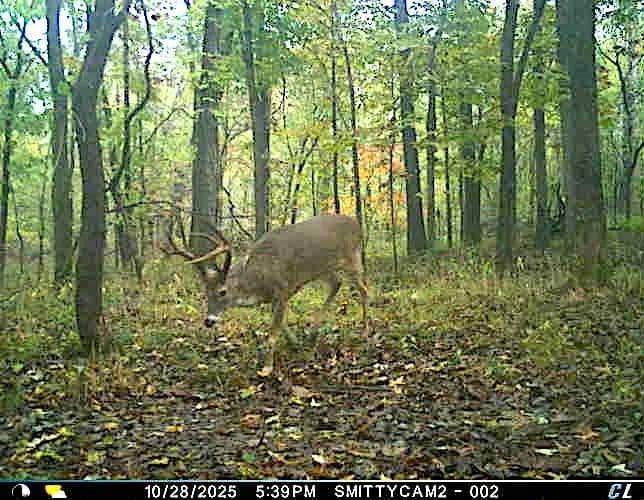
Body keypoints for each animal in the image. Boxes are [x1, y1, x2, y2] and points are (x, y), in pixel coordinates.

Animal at [164, 214, 368, 376]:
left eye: (222, 292)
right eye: (205, 292)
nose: (209, 321)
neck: (258, 279)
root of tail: (357, 224)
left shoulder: (282, 290)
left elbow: (272, 333)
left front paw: (267, 368)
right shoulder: (276, 298)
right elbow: (281, 324)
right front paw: (295, 343)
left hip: (352, 259)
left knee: (364, 290)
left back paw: (365, 331)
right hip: (324, 269)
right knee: (337, 283)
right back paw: (313, 331)